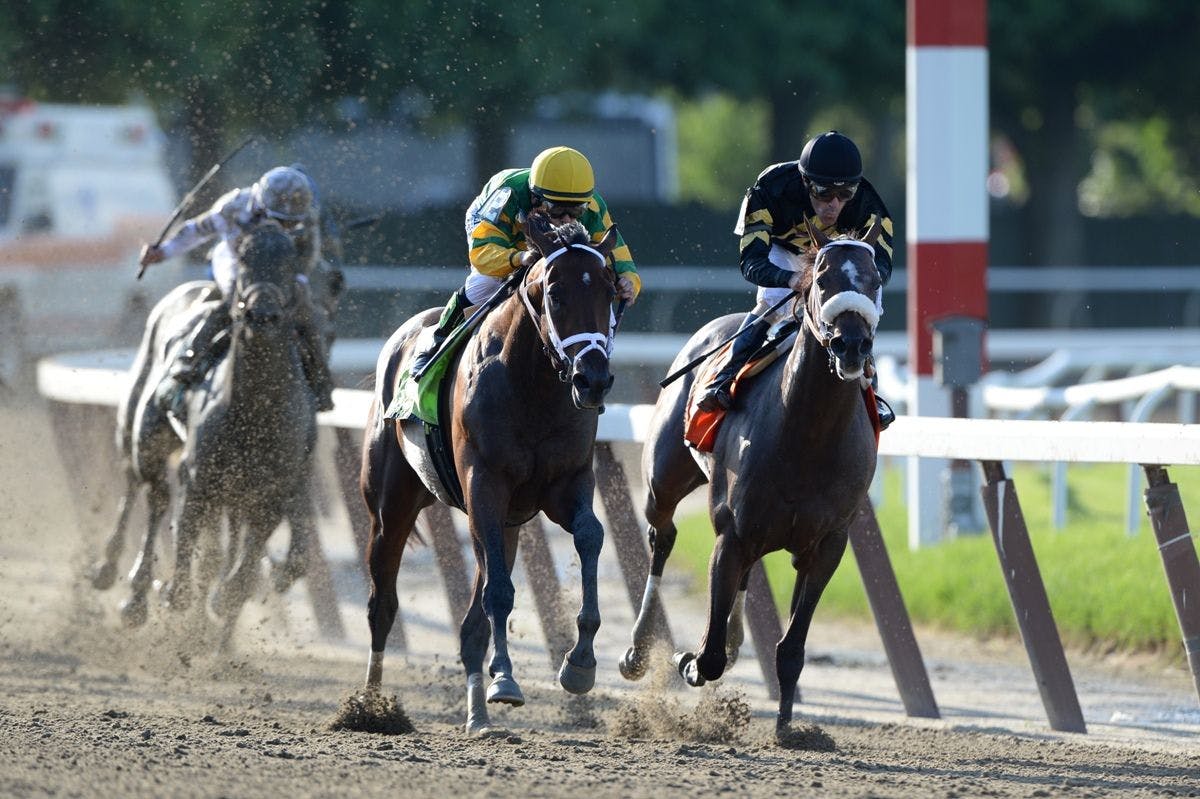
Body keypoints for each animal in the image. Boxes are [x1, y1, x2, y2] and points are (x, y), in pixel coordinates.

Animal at [91, 221, 321, 628]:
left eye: (290, 261)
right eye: (243, 258)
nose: (263, 313)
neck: (256, 408)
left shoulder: (275, 488)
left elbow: (253, 549)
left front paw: (229, 594)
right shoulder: (198, 473)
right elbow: (186, 526)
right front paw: (176, 592)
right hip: (142, 430)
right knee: (147, 492)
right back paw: (127, 585)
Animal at [355, 213, 619, 734]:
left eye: (609, 290)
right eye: (555, 292)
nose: (593, 379)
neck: (534, 386)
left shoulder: (566, 484)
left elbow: (590, 536)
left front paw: (579, 663)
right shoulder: (485, 486)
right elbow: (498, 592)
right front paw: (506, 681)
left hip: (507, 522)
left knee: (470, 624)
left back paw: (477, 713)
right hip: (392, 506)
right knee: (383, 603)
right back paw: (372, 707)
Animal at [619, 220, 883, 729]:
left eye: (876, 279)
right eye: (823, 280)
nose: (852, 345)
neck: (808, 436)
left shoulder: (826, 545)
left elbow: (791, 650)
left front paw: (788, 728)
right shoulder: (732, 531)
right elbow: (709, 657)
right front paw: (688, 659)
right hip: (663, 481)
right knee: (662, 538)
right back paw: (638, 651)